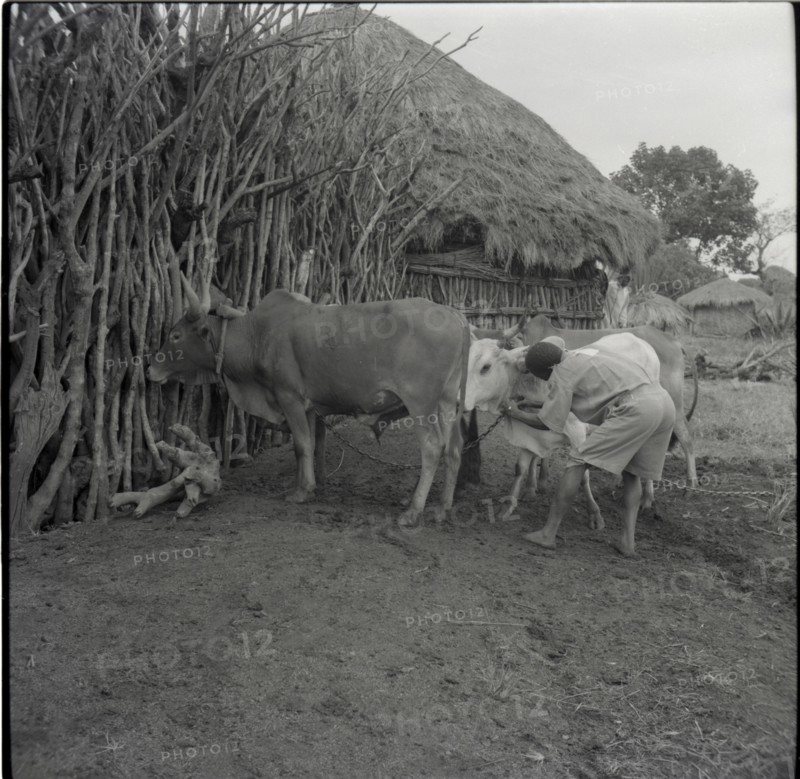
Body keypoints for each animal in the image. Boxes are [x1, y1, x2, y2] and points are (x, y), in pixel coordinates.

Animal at [147, 277, 470, 526]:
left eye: (175, 336)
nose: (152, 369)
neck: (257, 335)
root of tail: (455, 315)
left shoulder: (289, 397)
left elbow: (302, 445)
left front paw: (301, 492)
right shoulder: (311, 406)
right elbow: (312, 445)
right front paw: (306, 484)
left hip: (421, 404)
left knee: (433, 448)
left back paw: (413, 511)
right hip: (446, 404)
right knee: (454, 448)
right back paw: (442, 508)